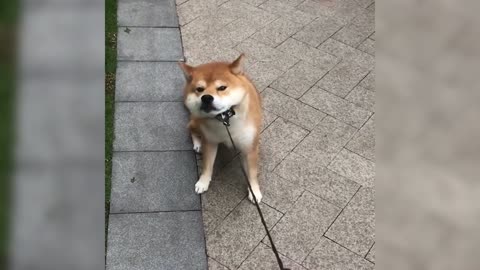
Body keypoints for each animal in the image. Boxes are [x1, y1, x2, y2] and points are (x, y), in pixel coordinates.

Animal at [179, 54, 262, 202]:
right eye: (199, 89)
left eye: (222, 87)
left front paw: (254, 191)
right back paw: (198, 144)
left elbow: (252, 173)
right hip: (197, 121)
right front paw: (203, 182)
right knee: (190, 128)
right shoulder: (210, 142)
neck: (225, 118)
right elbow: (207, 166)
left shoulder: (250, 147)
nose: (206, 98)